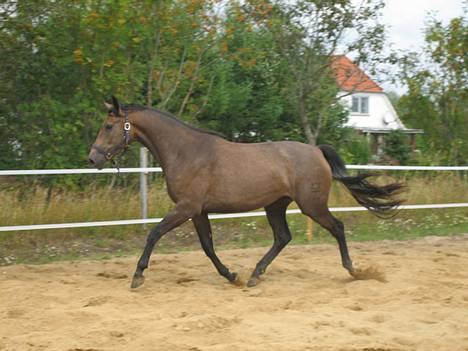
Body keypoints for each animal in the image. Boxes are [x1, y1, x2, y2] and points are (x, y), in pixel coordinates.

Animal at [88, 95, 406, 288]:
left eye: (108, 126)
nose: (92, 159)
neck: (185, 152)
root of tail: (317, 151)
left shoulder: (186, 208)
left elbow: (154, 233)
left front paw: (137, 275)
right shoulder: (198, 211)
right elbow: (208, 246)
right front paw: (232, 276)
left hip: (311, 205)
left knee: (337, 227)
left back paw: (353, 270)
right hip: (276, 205)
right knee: (283, 237)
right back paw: (255, 275)